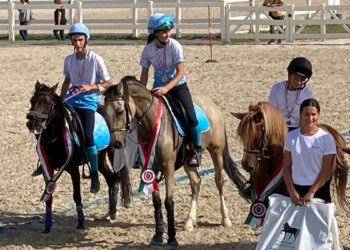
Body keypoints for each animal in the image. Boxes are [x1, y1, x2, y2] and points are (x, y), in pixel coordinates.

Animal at [26, 81, 132, 233]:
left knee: (116, 176)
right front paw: (47, 225)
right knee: (111, 178)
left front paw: (81, 224)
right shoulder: (48, 168)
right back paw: (111, 212)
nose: (32, 123)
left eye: (47, 102)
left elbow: (77, 196)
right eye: (31, 101)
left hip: (113, 152)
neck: (56, 138)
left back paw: (111, 208)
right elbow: (49, 195)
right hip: (100, 158)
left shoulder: (73, 169)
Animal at [104, 75, 249, 248]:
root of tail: (213, 105)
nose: (116, 143)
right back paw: (189, 222)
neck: (152, 124)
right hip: (188, 161)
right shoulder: (150, 168)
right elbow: (157, 201)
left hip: (217, 151)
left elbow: (169, 202)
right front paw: (158, 235)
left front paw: (172, 238)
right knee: (196, 182)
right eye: (105, 114)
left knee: (219, 181)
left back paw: (225, 219)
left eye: (120, 111)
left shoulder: (168, 167)